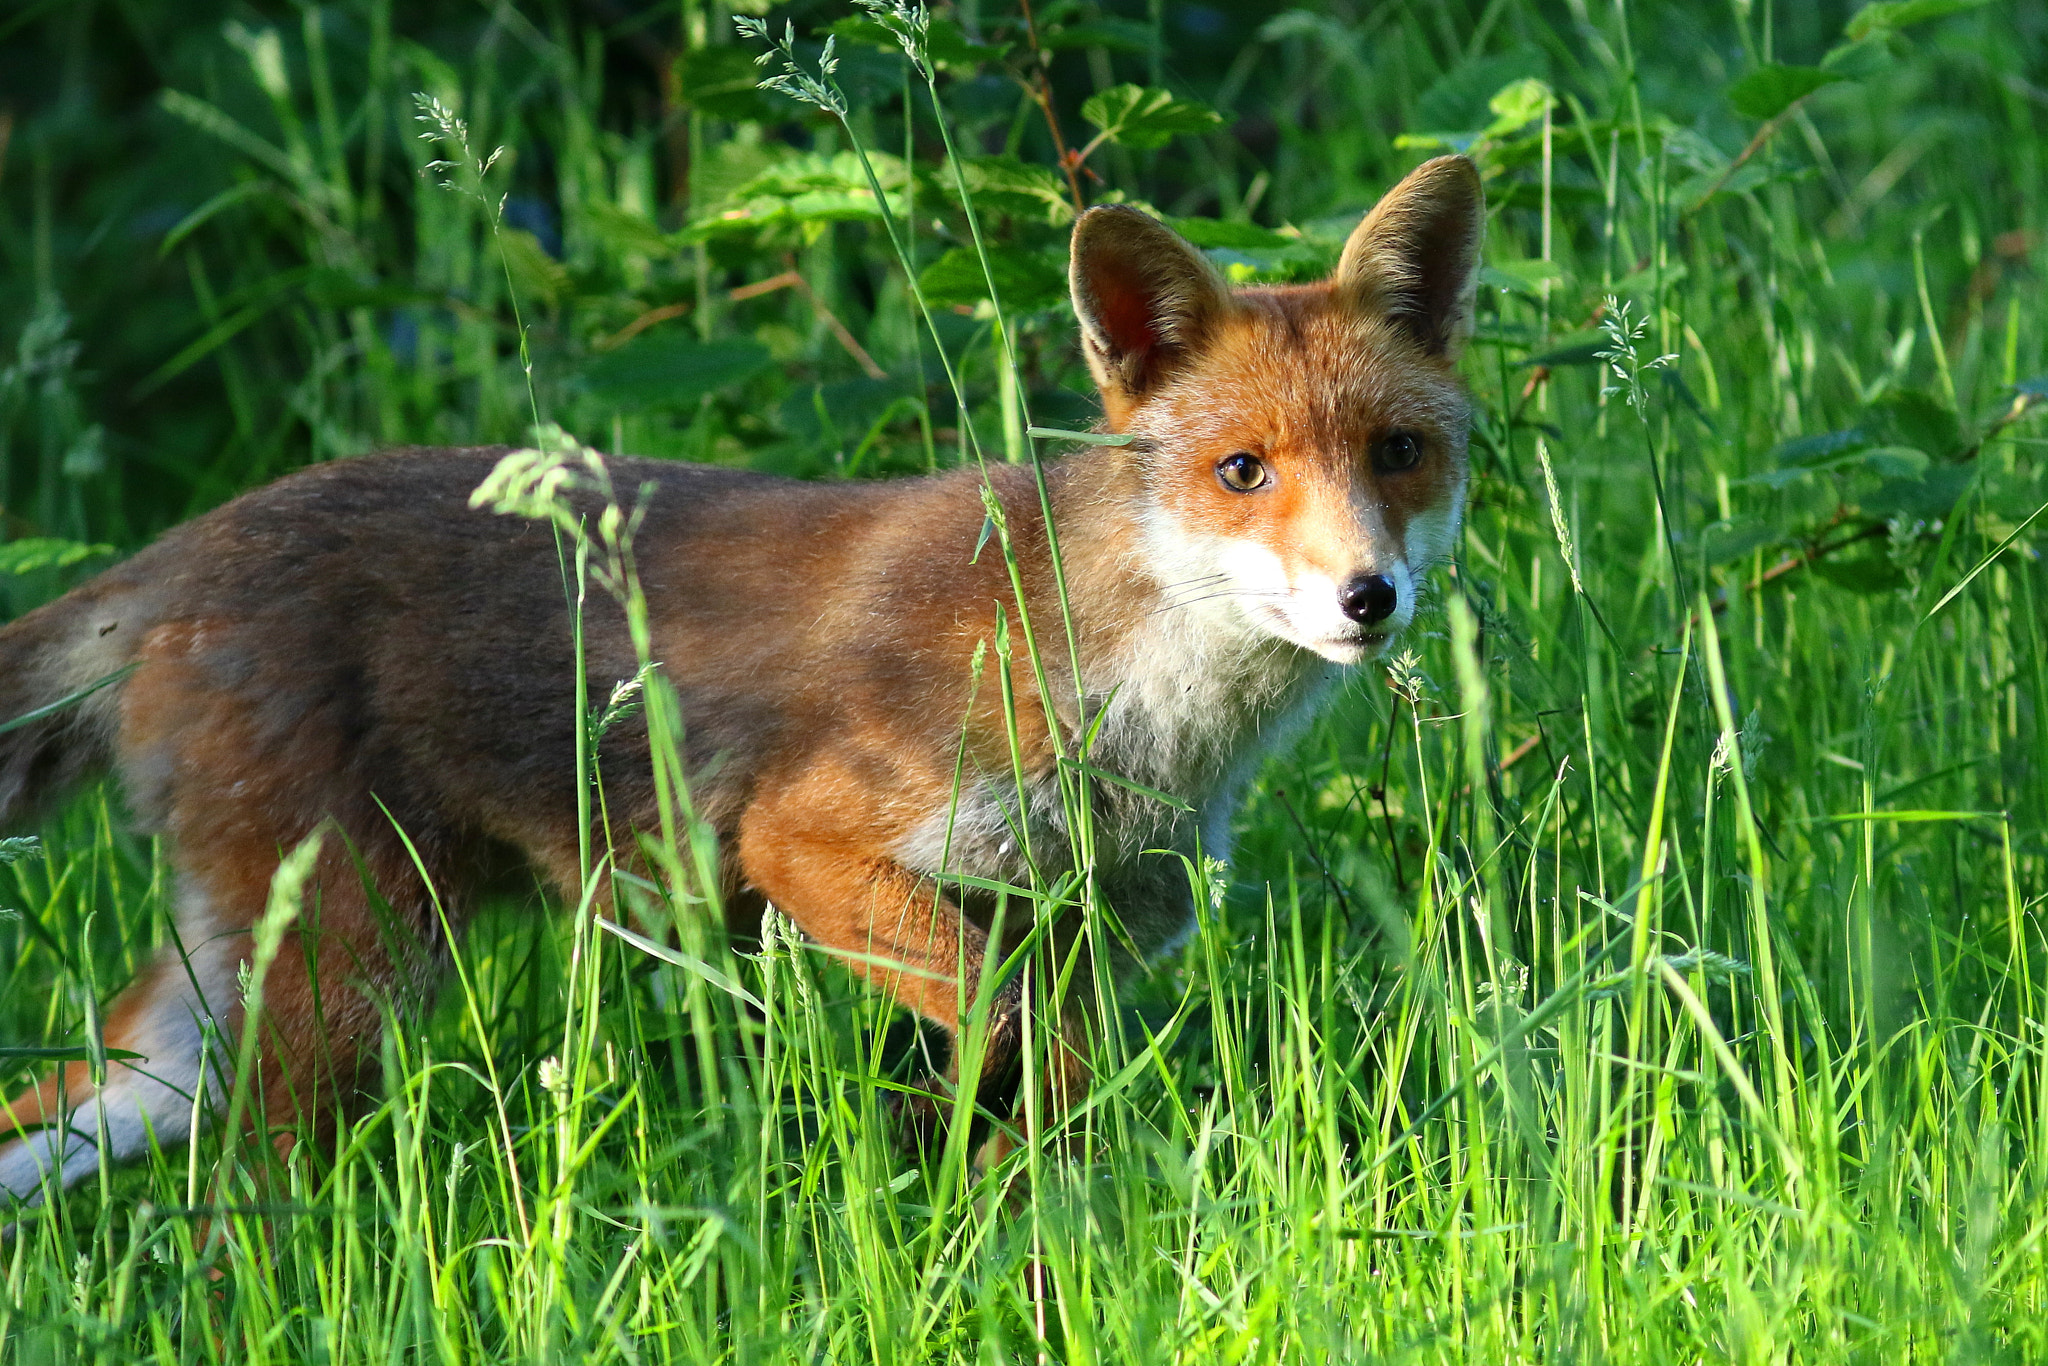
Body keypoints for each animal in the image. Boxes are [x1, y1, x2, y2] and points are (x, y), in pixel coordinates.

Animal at [0, 155, 1482, 1199]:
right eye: (1243, 470)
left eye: (1398, 453)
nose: (1367, 596)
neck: (1142, 714)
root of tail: (189, 545)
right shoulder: (808, 843)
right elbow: (1023, 1037)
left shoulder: (1096, 926)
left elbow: (1047, 1094)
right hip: (346, 977)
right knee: (235, 1193)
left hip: (226, 1007)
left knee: (69, 1105)